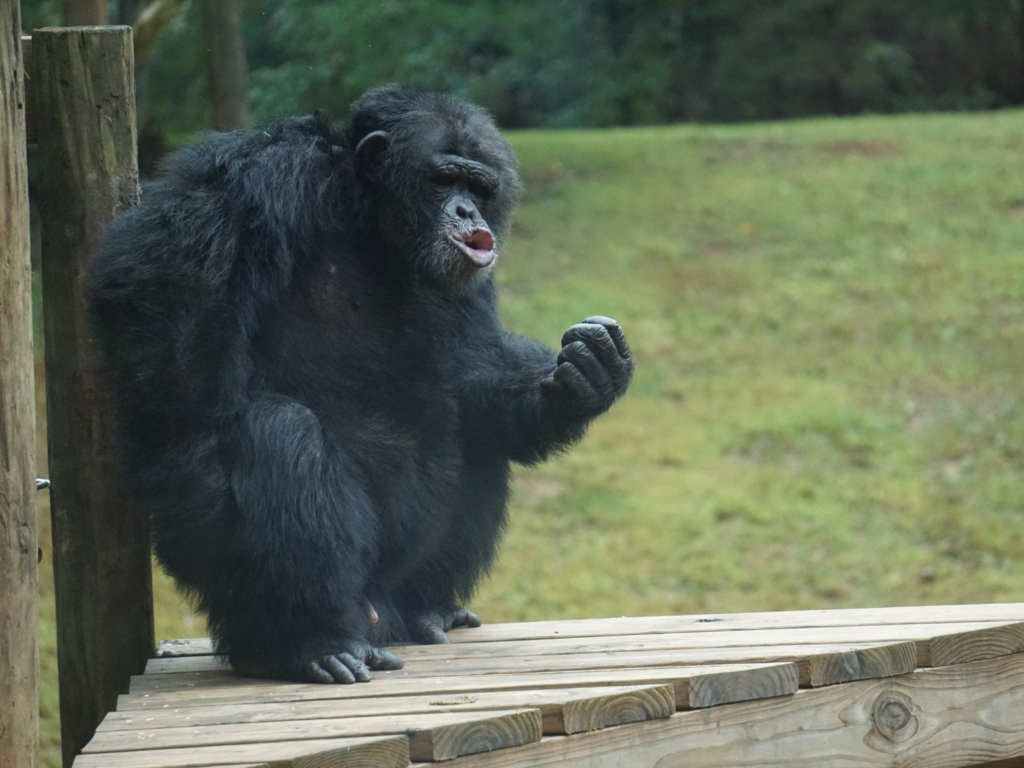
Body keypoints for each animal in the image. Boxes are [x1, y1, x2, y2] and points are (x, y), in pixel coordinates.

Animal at [90, 85, 630, 684]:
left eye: (480, 187)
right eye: (443, 180)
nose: (468, 211)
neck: (367, 218)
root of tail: (375, 615)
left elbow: (469, 363)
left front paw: (576, 380)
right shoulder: (248, 186)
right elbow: (170, 336)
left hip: (396, 581)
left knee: (478, 437)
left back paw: (426, 610)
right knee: (278, 430)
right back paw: (307, 640)